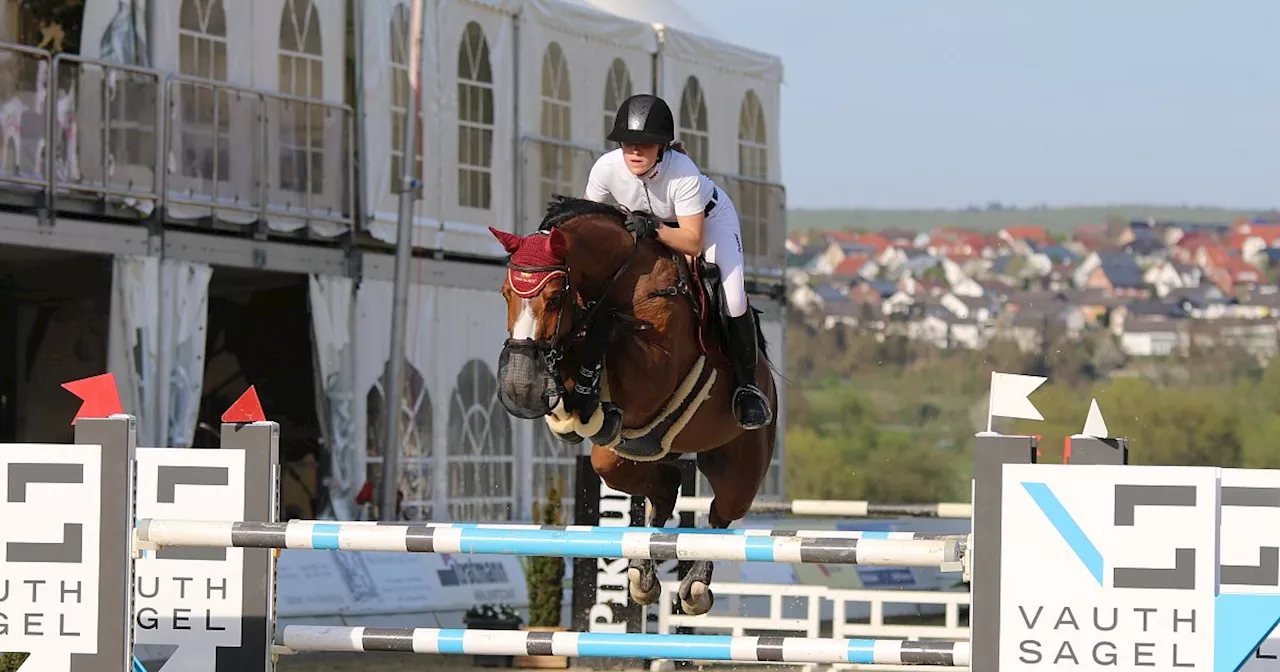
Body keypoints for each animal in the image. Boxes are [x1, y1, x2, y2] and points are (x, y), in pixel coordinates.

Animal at [486, 193, 773, 611]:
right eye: (506, 294)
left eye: (554, 298)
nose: (518, 387)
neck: (621, 278)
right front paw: (572, 410)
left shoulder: (655, 370)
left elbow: (609, 333)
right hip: (625, 458)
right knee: (665, 487)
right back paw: (643, 575)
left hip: (740, 465)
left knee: (721, 516)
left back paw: (695, 587)